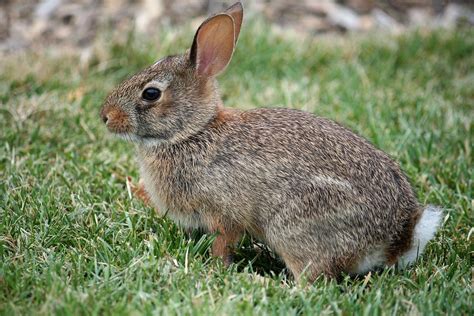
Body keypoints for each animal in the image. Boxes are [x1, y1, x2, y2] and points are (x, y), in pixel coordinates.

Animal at [98, 1, 442, 278]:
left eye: (151, 94)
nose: (105, 116)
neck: (193, 132)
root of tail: (397, 238)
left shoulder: (223, 211)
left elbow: (223, 241)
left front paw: (216, 268)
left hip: (294, 226)